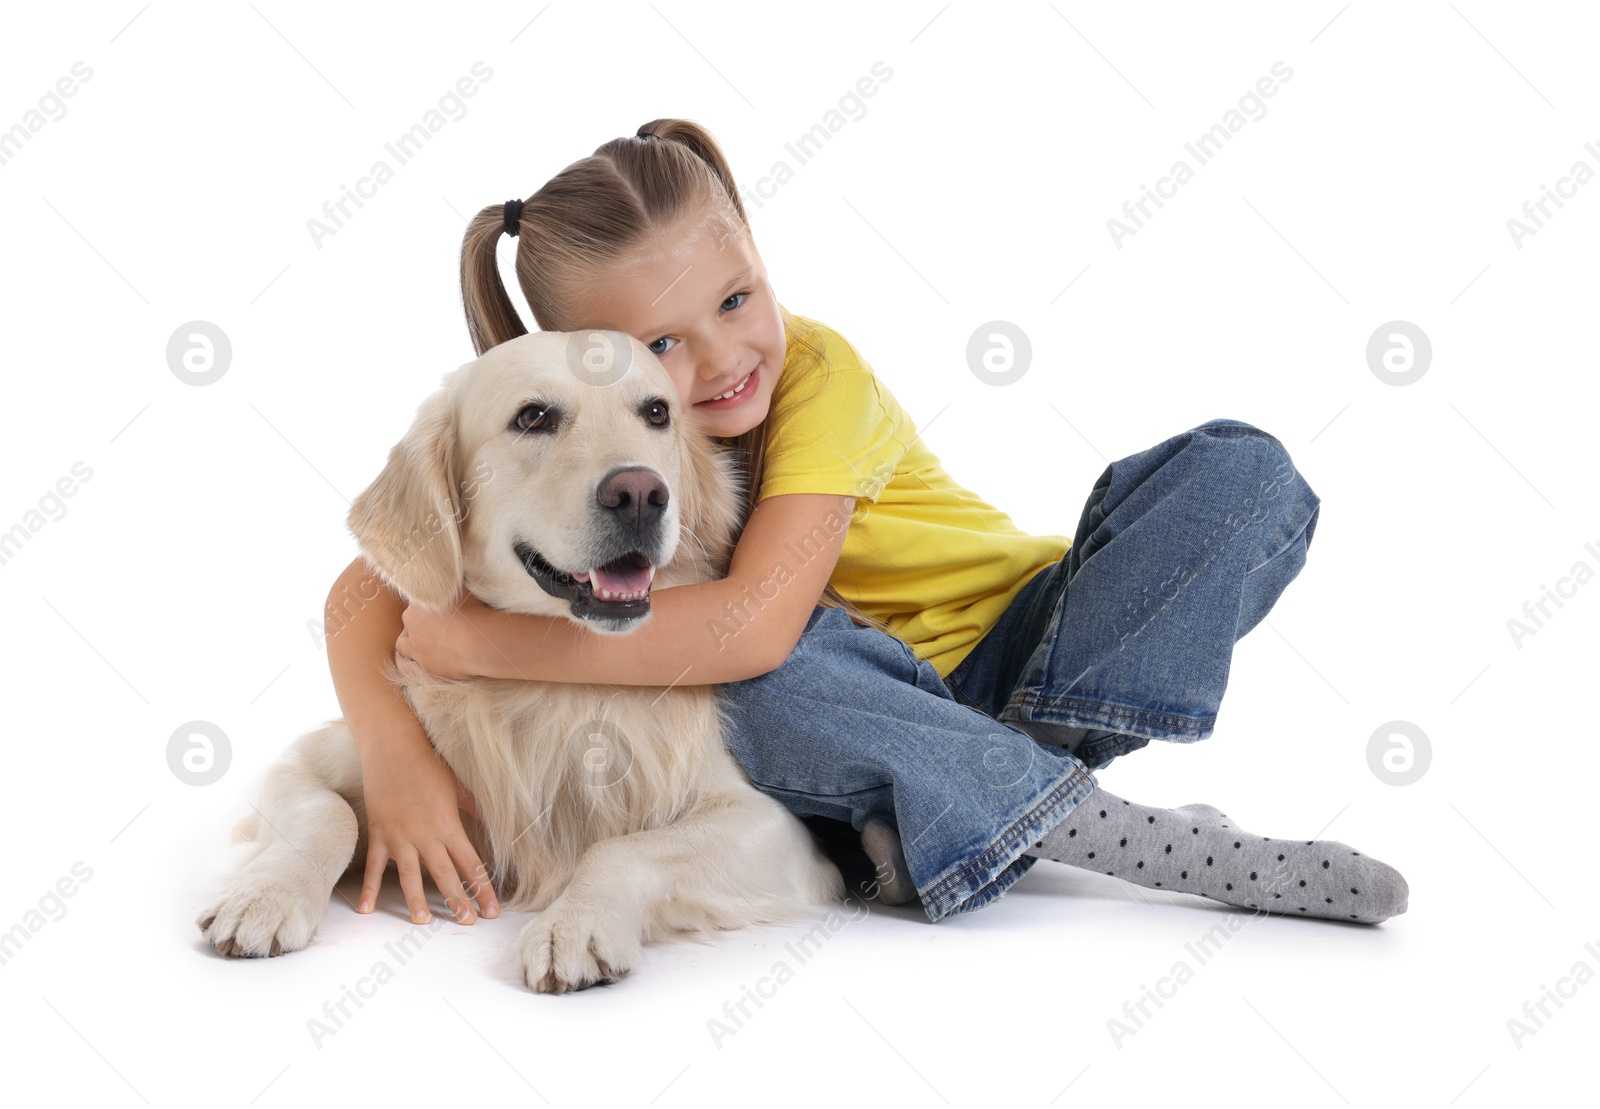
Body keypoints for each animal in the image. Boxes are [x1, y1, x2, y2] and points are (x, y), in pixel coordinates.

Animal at [198, 331, 844, 992]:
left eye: (657, 412)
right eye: (533, 417)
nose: (641, 494)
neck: (555, 676)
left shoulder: (777, 828)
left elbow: (622, 847)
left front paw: (576, 922)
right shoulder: (312, 760)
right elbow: (328, 814)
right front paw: (266, 896)